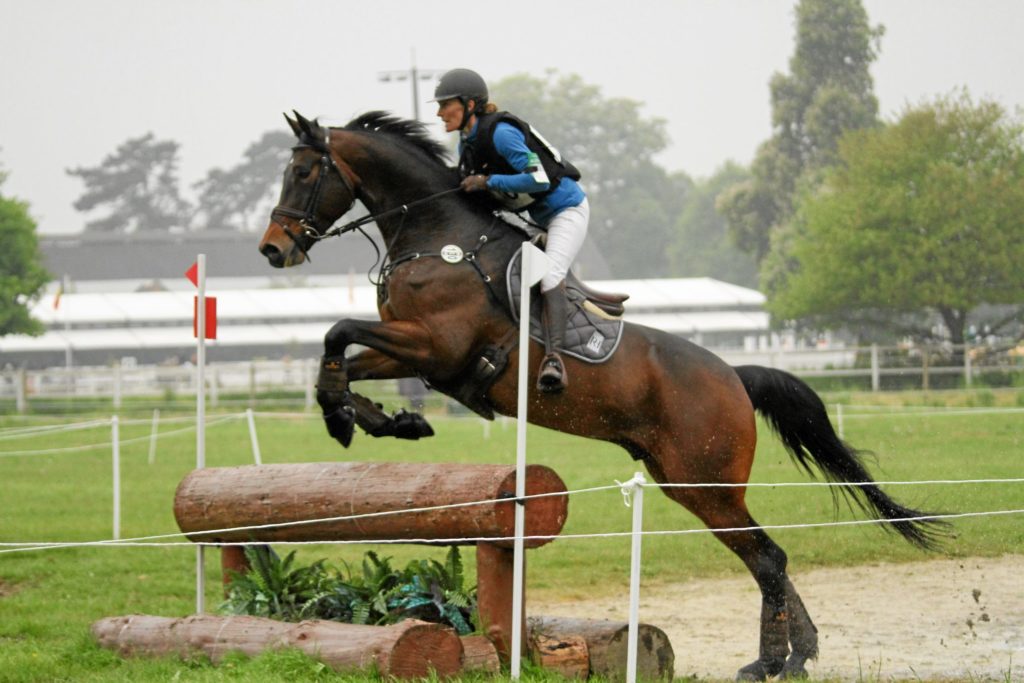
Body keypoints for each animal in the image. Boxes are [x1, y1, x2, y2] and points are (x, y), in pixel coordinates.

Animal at [258, 111, 942, 679]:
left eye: (302, 172)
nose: (273, 248)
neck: (437, 234)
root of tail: (733, 375)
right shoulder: (413, 352)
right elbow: (343, 358)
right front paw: (379, 419)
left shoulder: (436, 347)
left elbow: (337, 331)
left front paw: (347, 419)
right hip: (686, 482)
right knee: (763, 556)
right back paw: (797, 655)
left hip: (705, 482)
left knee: (768, 557)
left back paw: (774, 661)